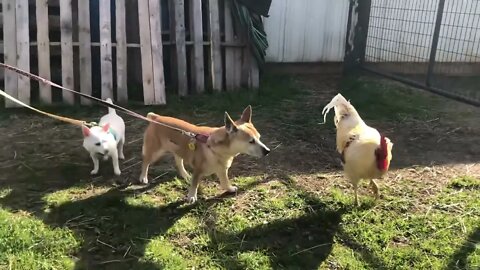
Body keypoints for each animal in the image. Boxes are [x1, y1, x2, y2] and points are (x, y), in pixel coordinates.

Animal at [139, 105, 270, 202]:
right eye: (251, 141)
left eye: (259, 138)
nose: (267, 151)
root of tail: (156, 117)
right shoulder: (198, 170)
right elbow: (195, 184)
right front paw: (192, 196)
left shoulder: (222, 170)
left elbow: (225, 182)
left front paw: (229, 189)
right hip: (155, 151)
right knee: (146, 161)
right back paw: (143, 177)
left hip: (178, 149)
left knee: (178, 161)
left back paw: (185, 175)